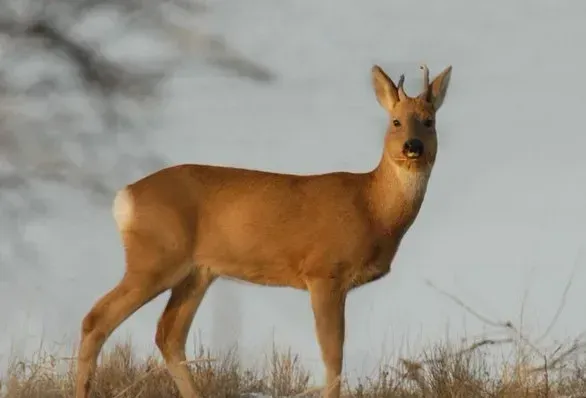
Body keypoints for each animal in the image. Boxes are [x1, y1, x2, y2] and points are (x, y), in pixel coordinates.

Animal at [75, 63, 452, 396]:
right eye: (396, 121)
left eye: (429, 121)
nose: (413, 147)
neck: (372, 208)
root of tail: (124, 197)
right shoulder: (323, 271)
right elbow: (333, 356)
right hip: (156, 257)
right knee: (97, 318)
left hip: (198, 272)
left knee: (168, 334)